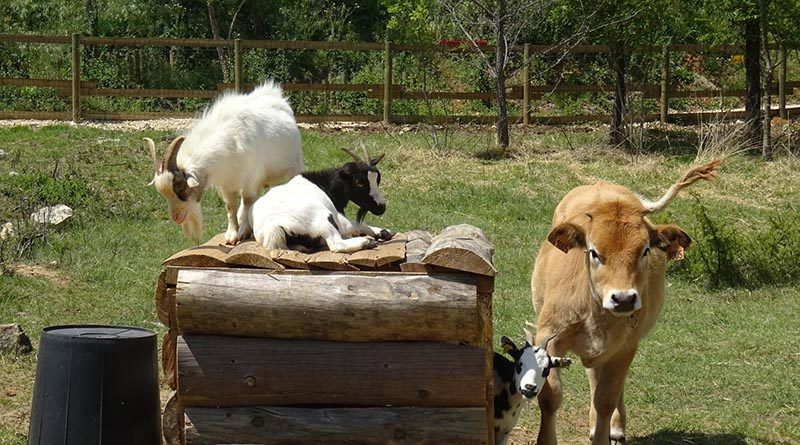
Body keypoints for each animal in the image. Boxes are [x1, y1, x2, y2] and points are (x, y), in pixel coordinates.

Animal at [145, 81, 304, 245]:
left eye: (181, 187)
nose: (176, 217)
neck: (229, 140)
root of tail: (274, 93)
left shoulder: (250, 178)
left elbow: (247, 201)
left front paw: (243, 231)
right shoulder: (226, 183)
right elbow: (230, 206)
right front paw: (232, 234)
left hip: (296, 166)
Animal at [250, 147, 394, 253]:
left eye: (378, 179)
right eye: (359, 183)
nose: (381, 207)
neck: (324, 185)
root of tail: (273, 227)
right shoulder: (340, 220)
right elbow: (355, 225)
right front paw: (383, 232)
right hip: (323, 220)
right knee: (336, 244)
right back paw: (366, 242)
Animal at [532, 160, 720, 444]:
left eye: (645, 251)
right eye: (594, 252)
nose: (623, 298)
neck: (594, 313)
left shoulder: (624, 348)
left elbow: (606, 401)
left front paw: (605, 431)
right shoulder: (547, 336)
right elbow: (550, 396)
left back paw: (615, 427)